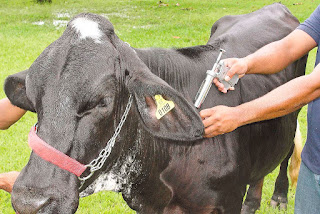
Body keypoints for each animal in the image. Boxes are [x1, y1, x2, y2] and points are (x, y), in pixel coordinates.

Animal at [3, 3, 306, 214]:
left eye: (102, 101)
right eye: (34, 98)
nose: (31, 200)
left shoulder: (227, 200)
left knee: (286, 150)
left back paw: (278, 196)